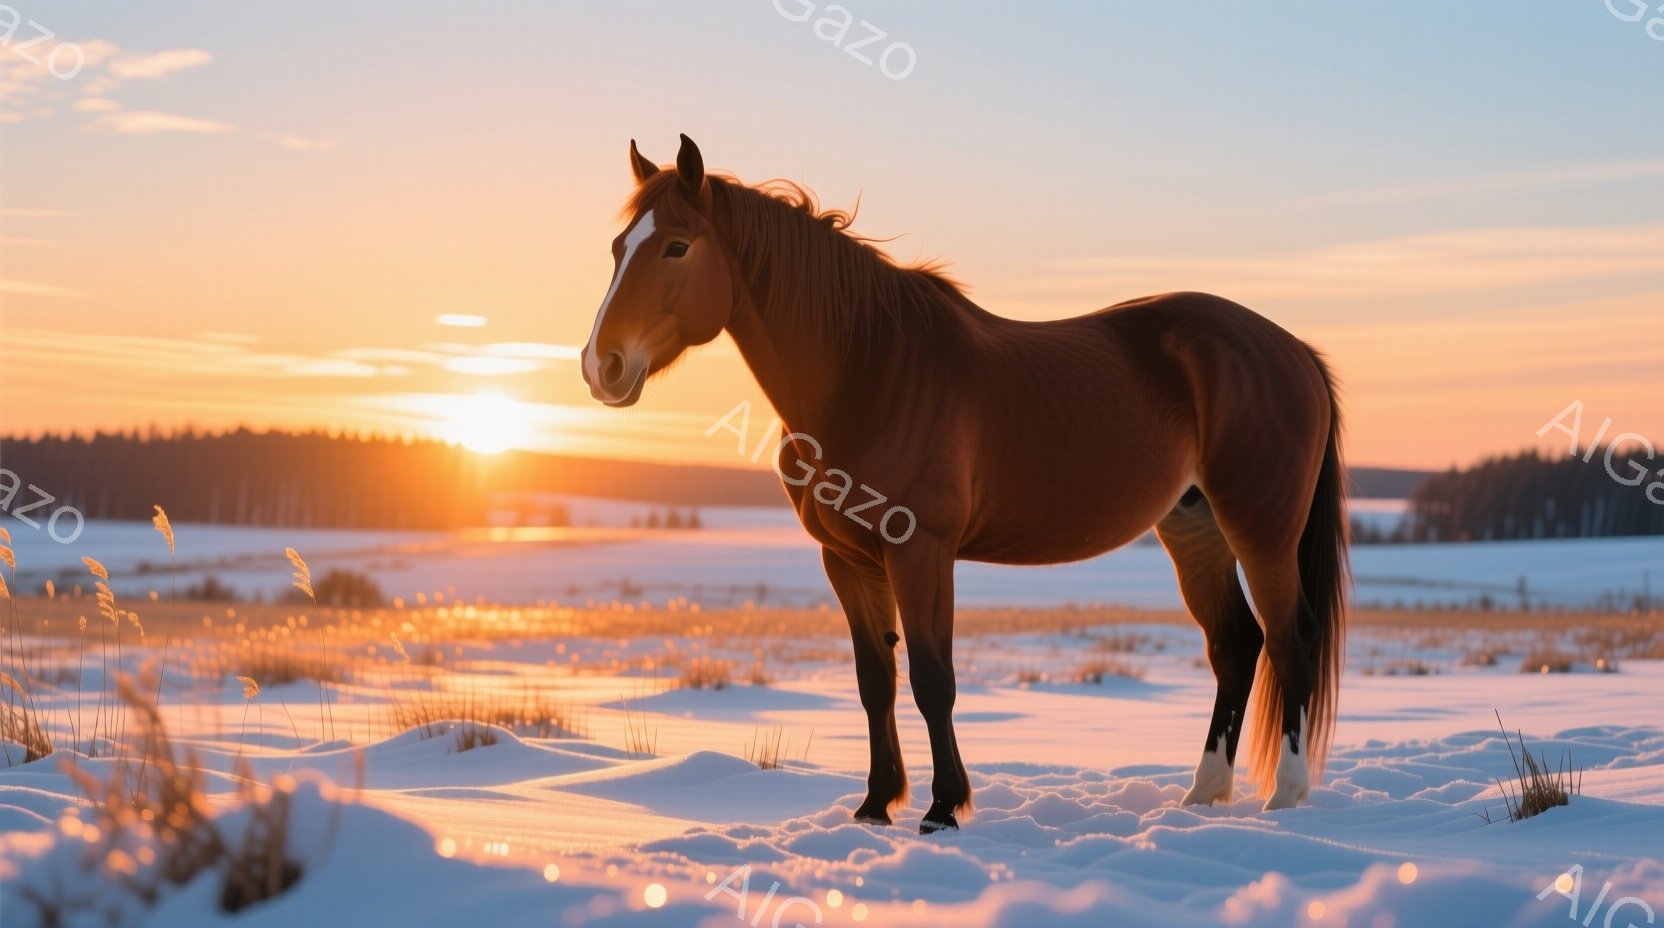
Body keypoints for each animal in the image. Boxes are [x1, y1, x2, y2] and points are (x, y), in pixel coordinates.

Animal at [580, 135, 1348, 833]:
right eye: (618, 247)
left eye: (677, 247)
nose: (601, 366)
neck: (870, 372)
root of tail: (1295, 352)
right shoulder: (847, 560)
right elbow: (875, 682)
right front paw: (874, 805)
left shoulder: (921, 551)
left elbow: (932, 680)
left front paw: (943, 808)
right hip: (1193, 528)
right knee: (1234, 644)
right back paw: (1203, 794)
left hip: (1260, 529)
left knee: (1289, 636)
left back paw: (1286, 796)